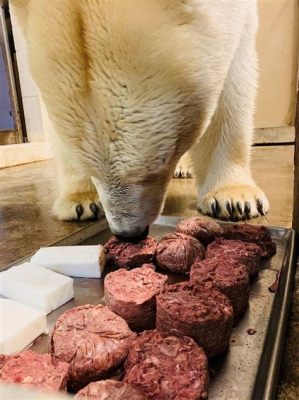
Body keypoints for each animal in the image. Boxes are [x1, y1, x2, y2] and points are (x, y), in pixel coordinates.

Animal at [11, 0, 270, 238]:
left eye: (160, 162)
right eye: (90, 168)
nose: (127, 233)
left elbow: (233, 80)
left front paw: (234, 198)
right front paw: (81, 200)